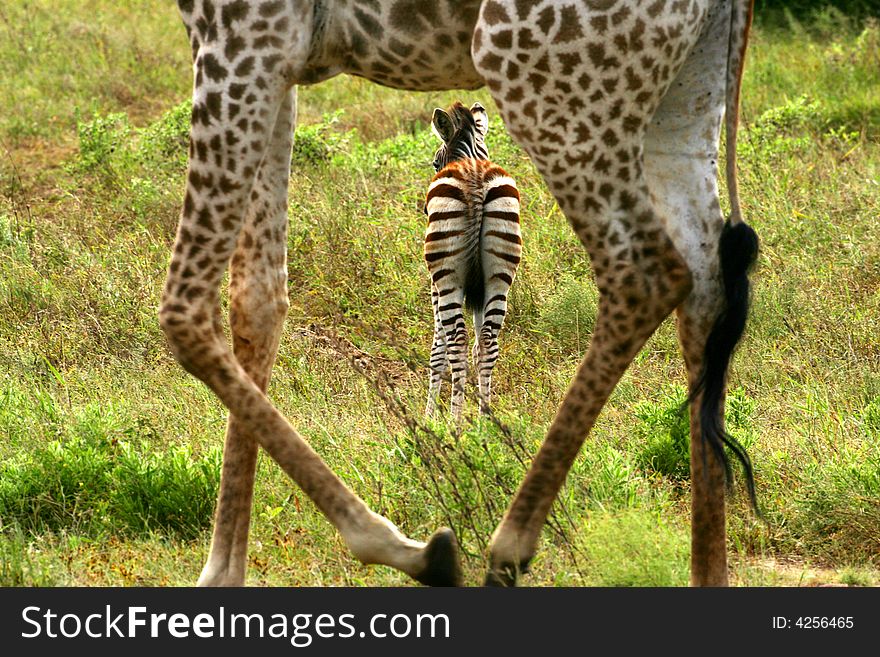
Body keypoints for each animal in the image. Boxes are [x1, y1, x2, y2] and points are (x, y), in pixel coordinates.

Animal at [422, 102, 520, 420]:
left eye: (435, 163)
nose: (424, 210)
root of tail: (476, 179)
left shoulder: (434, 288)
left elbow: (437, 352)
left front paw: (429, 417)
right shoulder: (480, 290)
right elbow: (479, 346)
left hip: (448, 279)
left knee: (457, 342)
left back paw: (455, 423)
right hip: (499, 276)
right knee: (488, 342)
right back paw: (484, 422)